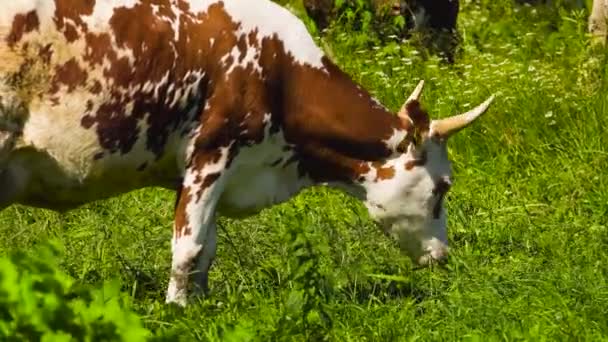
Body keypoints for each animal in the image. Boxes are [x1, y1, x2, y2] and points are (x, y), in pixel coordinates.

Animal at [0, 0, 492, 304]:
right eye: (443, 187)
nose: (443, 256)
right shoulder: (212, 153)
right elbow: (189, 248)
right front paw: (176, 312)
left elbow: (206, 250)